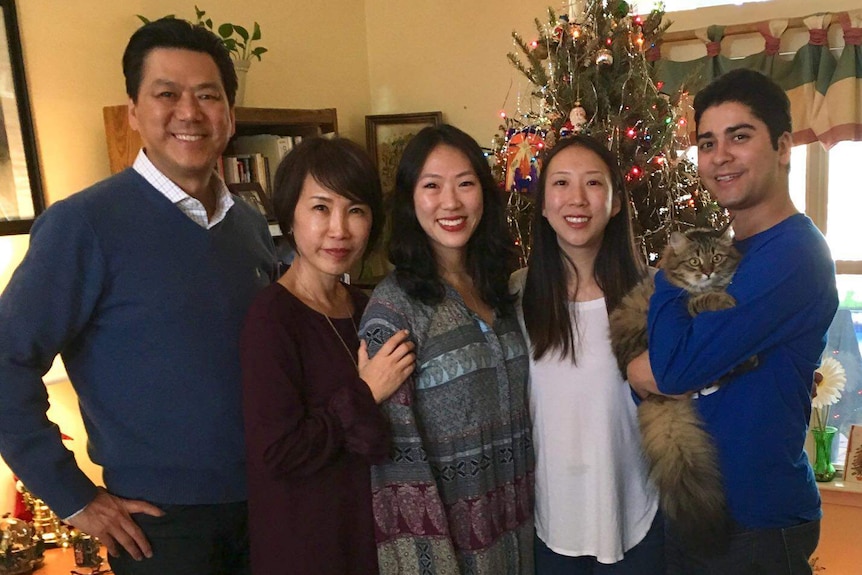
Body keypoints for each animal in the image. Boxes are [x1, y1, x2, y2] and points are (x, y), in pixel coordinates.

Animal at [608, 225, 748, 552]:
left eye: (716, 257)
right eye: (695, 261)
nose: (708, 272)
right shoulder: (680, 303)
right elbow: (699, 300)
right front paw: (721, 299)